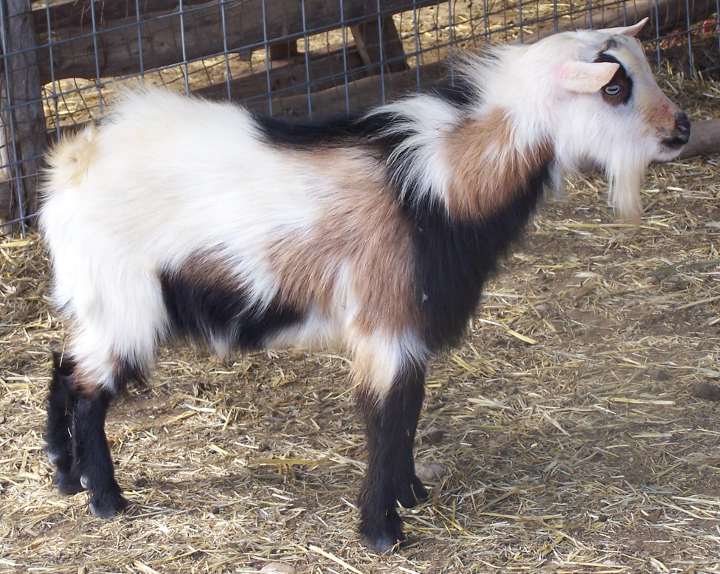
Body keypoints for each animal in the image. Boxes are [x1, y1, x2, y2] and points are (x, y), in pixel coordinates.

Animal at [40, 19, 692, 552]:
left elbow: (409, 411)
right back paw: (106, 500)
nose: (682, 127)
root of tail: (72, 164)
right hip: (127, 304)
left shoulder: (412, 327)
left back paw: (64, 473)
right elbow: (386, 418)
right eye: (614, 87)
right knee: (90, 391)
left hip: (100, 306)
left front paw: (412, 496)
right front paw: (383, 532)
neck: (437, 185)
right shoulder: (387, 323)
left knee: (64, 366)